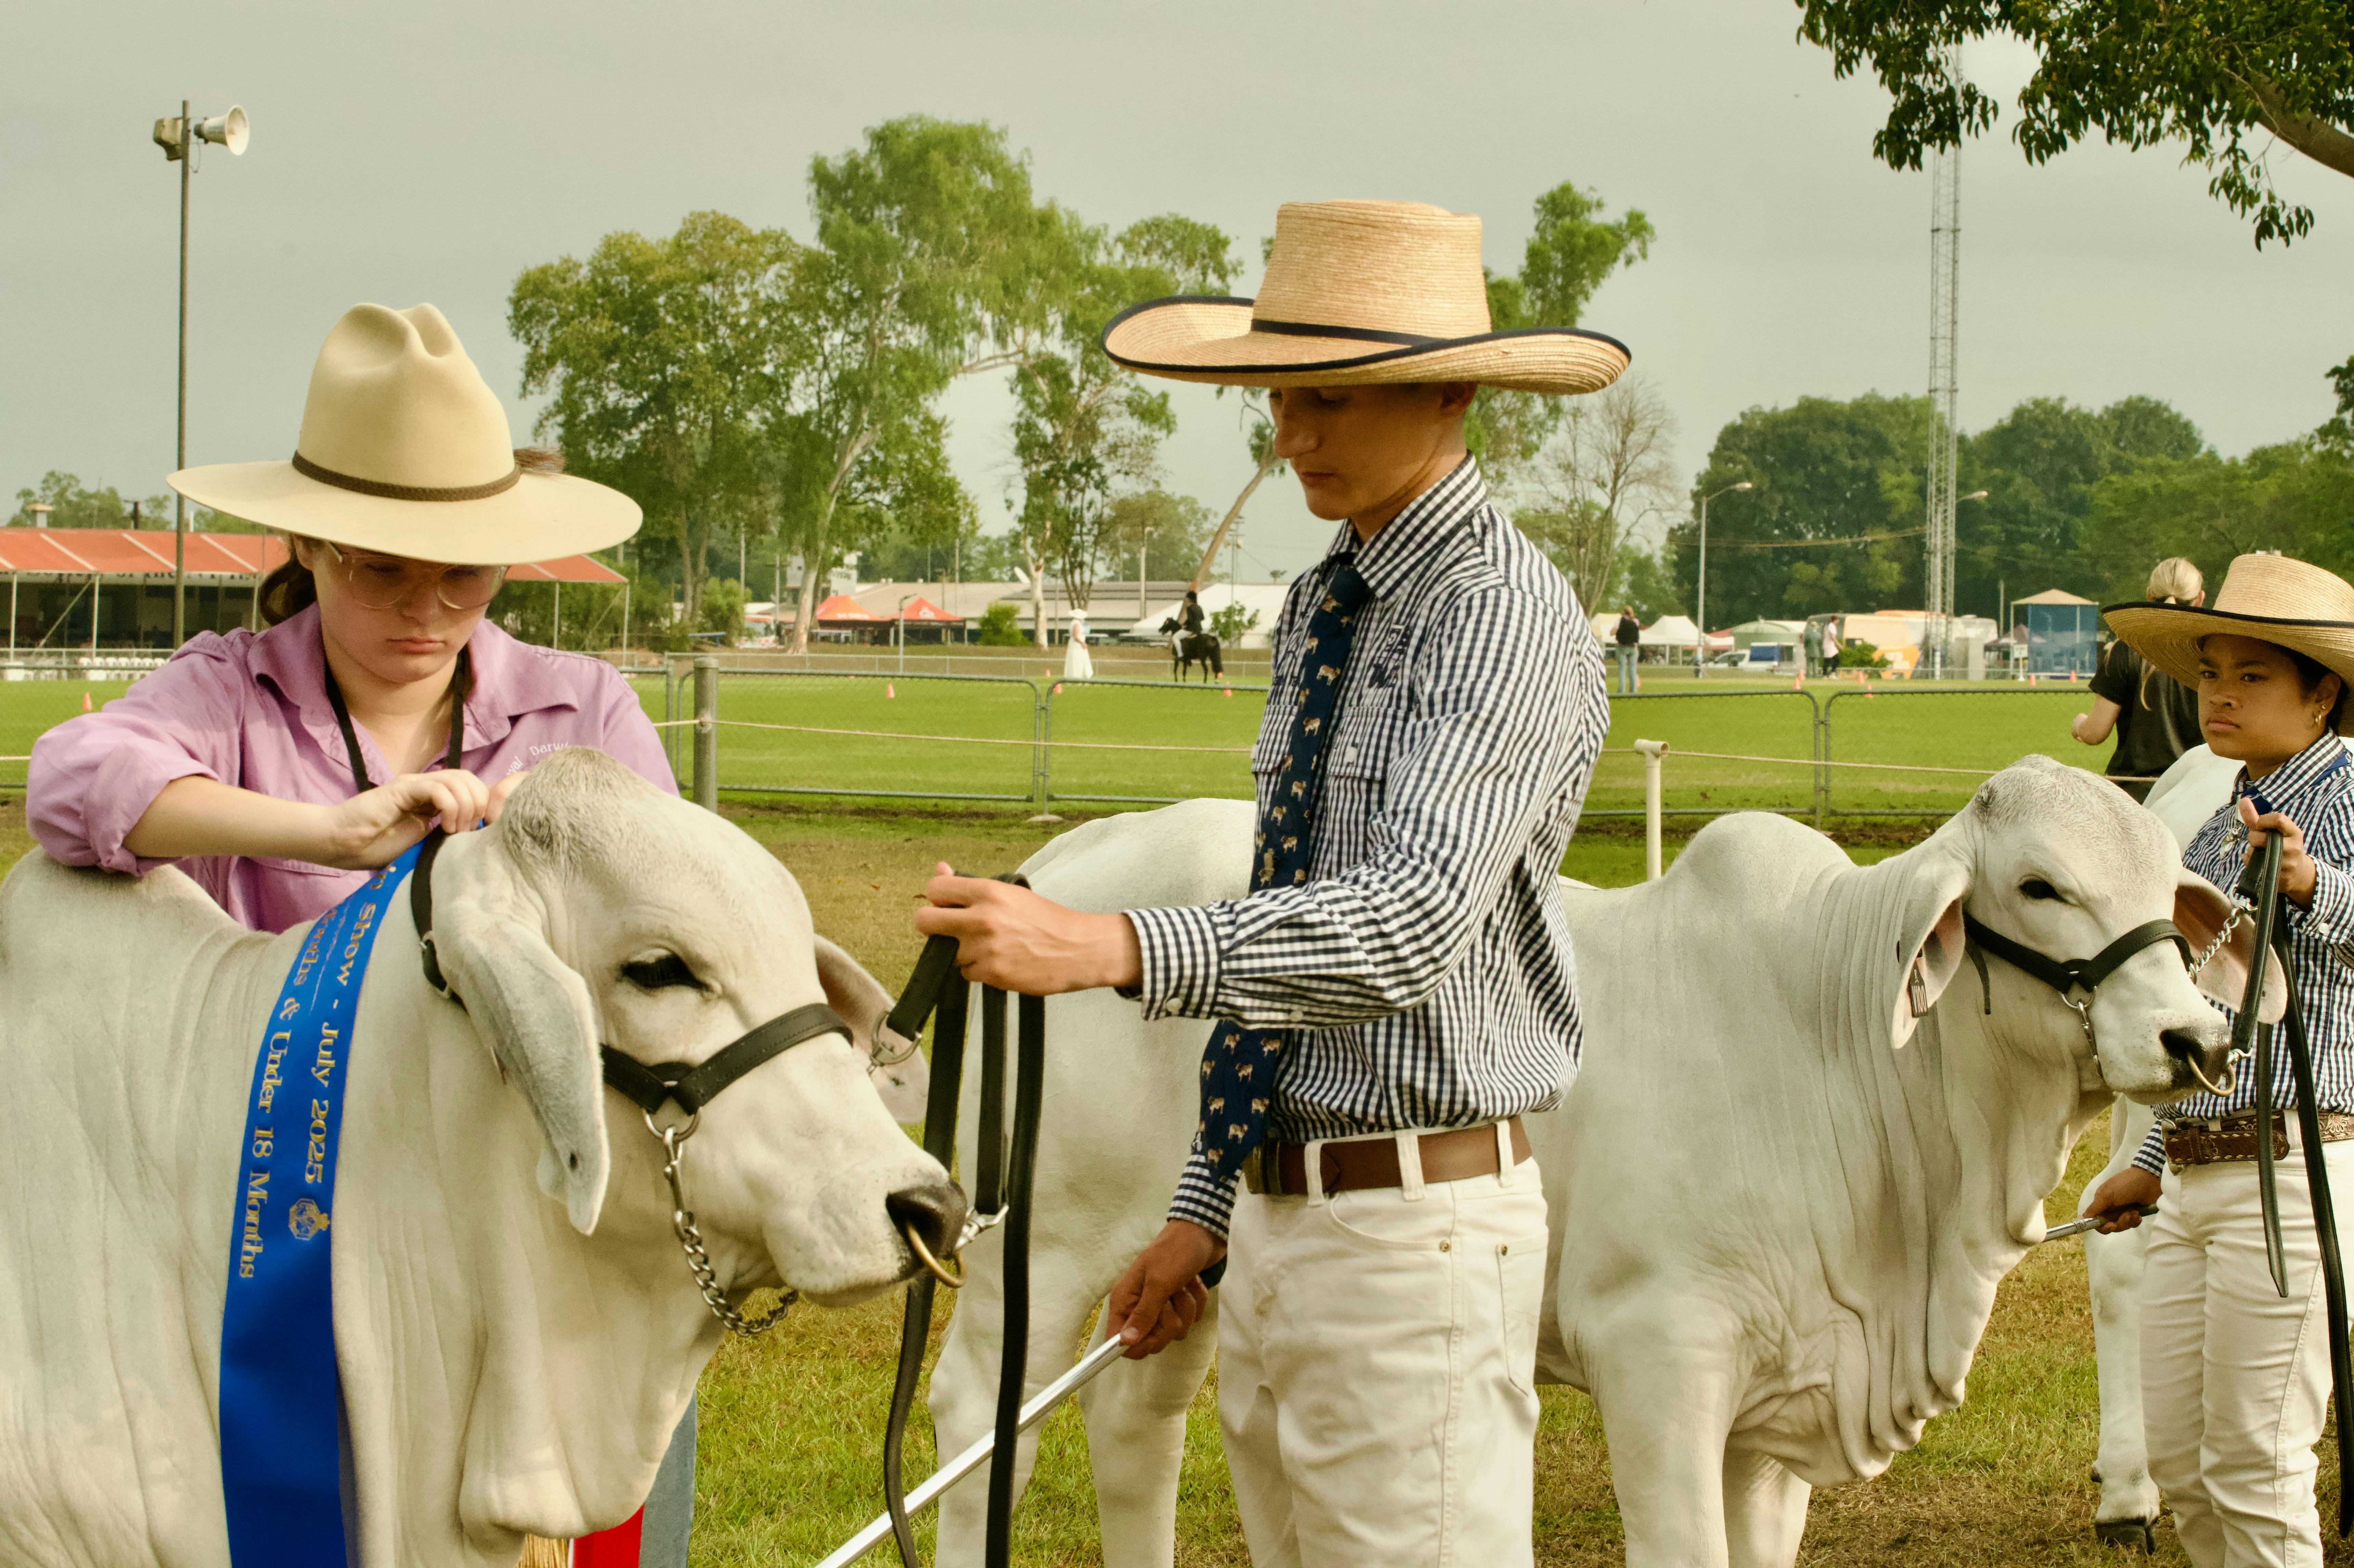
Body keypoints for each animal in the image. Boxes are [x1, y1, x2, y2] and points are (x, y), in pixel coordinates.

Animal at [915, 760, 2281, 1567]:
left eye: (2165, 880)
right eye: (2040, 884)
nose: (2194, 1038)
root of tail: (1057, 864)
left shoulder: (1778, 1398)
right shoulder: (1658, 1355)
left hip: (1180, 1266)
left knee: (1134, 1426)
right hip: (1045, 1239)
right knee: (983, 1419)